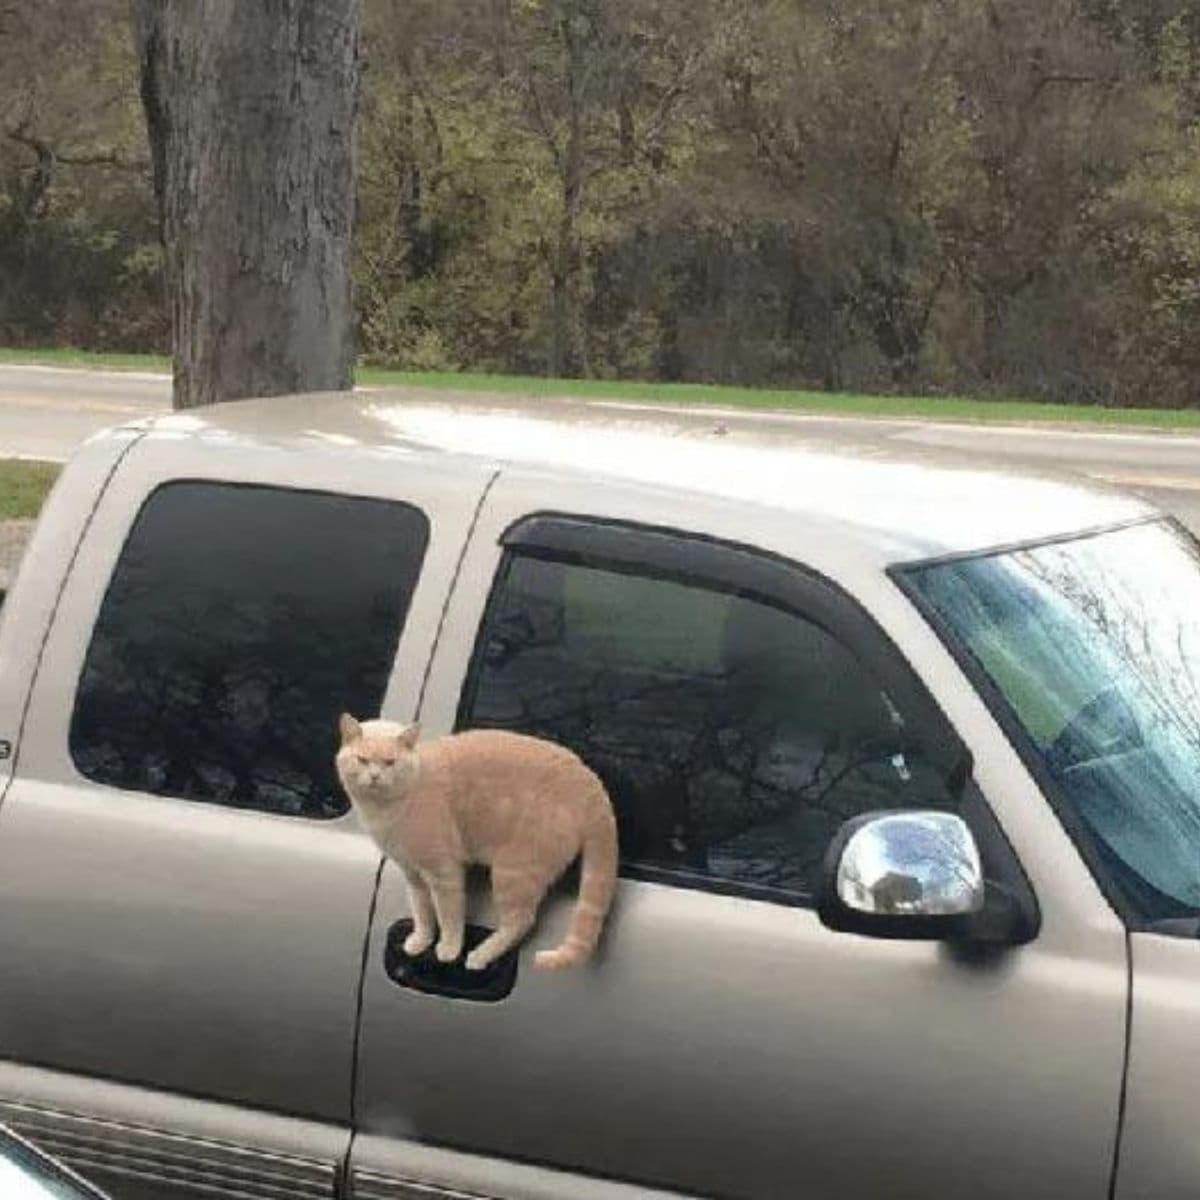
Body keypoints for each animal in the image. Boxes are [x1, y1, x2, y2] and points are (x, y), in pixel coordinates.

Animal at [336, 715, 619, 969]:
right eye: (362, 760)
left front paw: (449, 948)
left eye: (390, 762)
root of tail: (591, 782)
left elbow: (448, 914)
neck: (384, 811)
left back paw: (481, 955)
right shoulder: (413, 875)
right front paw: (421, 940)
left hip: (512, 871)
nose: (374, 776)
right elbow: (422, 912)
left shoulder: (444, 872)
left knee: (521, 921)